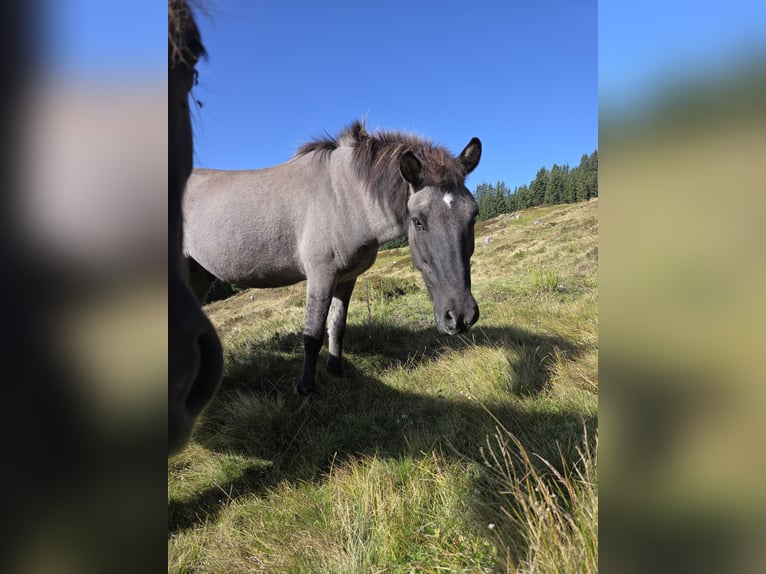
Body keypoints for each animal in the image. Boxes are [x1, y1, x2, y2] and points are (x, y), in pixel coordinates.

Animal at [183, 120, 482, 395]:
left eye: (474, 214)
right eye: (418, 221)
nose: (460, 317)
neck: (344, 197)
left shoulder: (346, 278)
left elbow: (337, 326)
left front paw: (336, 371)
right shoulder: (321, 275)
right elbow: (313, 334)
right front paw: (306, 388)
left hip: (198, 276)